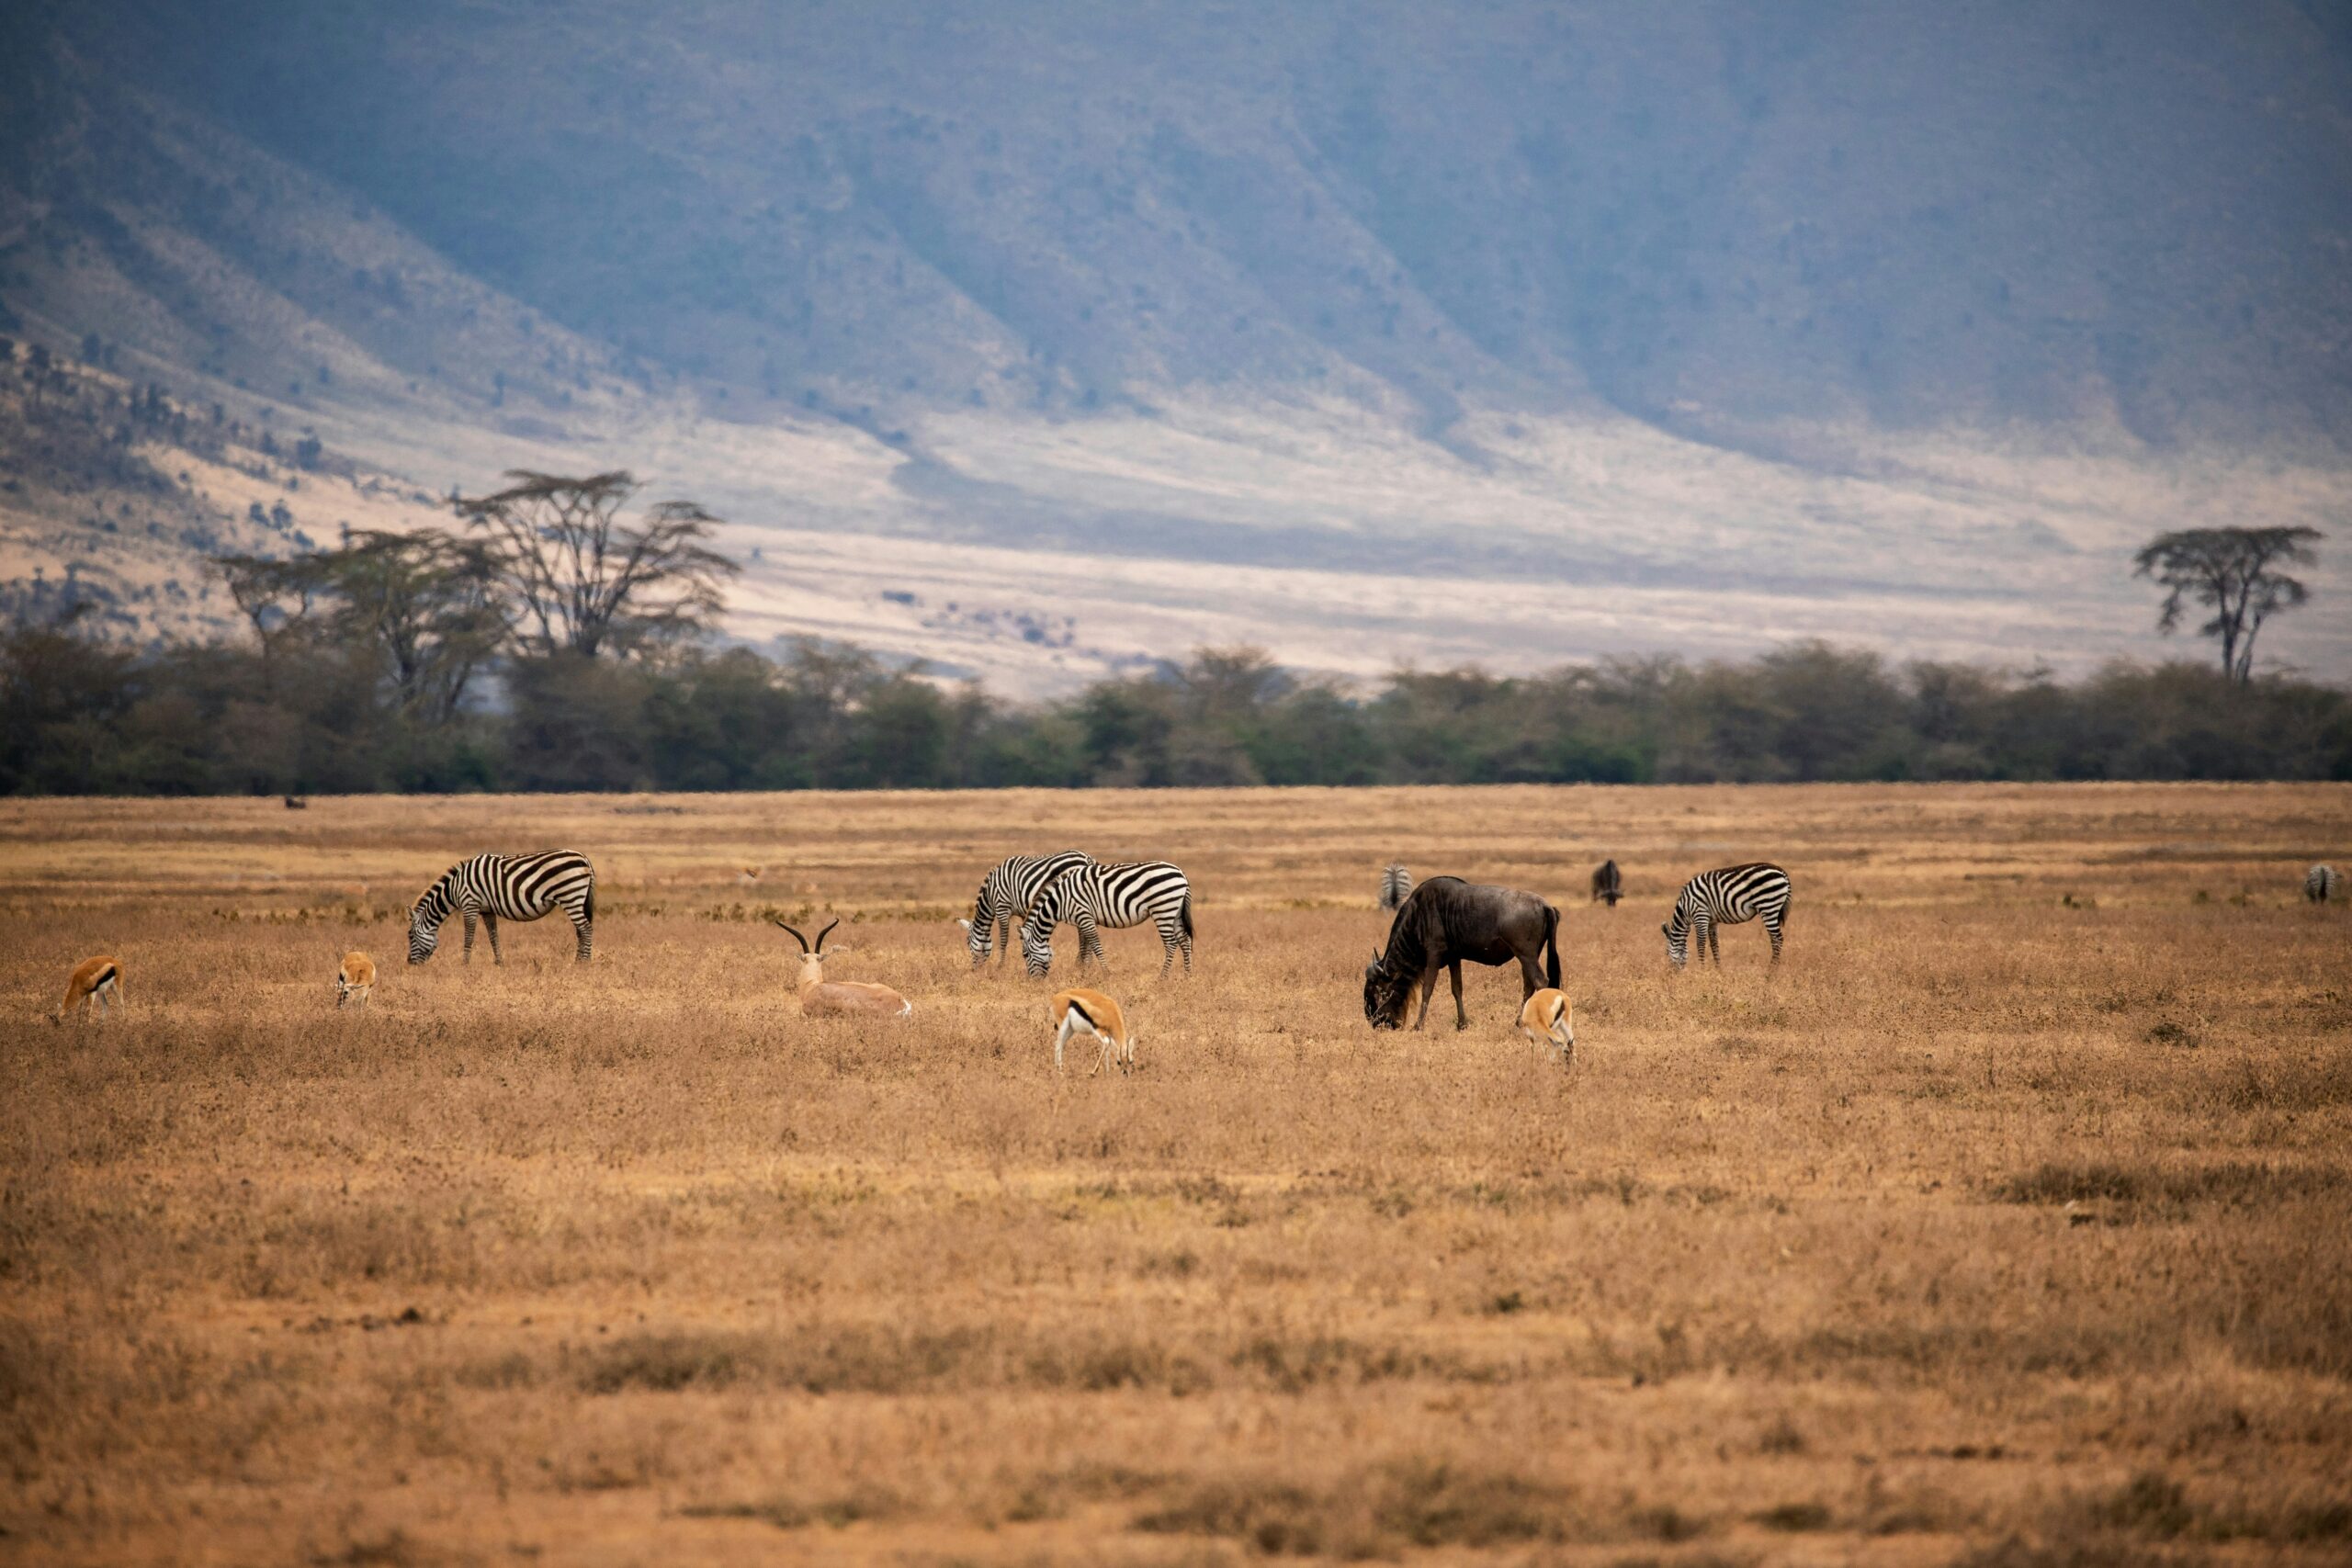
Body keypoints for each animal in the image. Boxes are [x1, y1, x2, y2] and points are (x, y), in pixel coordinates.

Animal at [404, 851, 593, 964]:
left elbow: (469, 936)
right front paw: (499, 963)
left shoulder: (470, 904)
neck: (455, 887)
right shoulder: (487, 910)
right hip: (576, 899)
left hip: (570, 895)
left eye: (410, 936)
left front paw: (465, 964)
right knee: (580, 930)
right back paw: (577, 961)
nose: (409, 962)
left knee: (586, 928)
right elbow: (493, 936)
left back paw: (585, 962)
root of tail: (584, 858)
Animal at [959, 851, 1095, 964]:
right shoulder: (1023, 911)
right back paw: (1085, 963)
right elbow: (1025, 933)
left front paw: (1001, 965)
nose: (974, 969)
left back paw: (1082, 963)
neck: (990, 894)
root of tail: (1087, 858)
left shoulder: (1002, 906)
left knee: (1083, 934)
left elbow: (1003, 938)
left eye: (967, 943)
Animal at [1021, 864, 1194, 973]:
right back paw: (1187, 976)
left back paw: (1162, 979)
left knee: (1171, 944)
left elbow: (1095, 945)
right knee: (1185, 941)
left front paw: (1106, 973)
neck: (1059, 901)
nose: (1034, 982)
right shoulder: (1082, 919)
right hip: (1174, 912)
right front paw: (1084, 972)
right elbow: (1086, 946)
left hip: (1163, 910)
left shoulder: (1083, 914)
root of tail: (1181, 873)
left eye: (1025, 955)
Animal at [1665, 860, 1787, 968]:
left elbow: (1700, 944)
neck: (1685, 910)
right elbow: (1714, 945)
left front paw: (1701, 969)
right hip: (1772, 906)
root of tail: (1782, 872)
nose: (1670, 975)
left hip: (1768, 905)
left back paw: (1770, 972)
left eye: (1667, 955)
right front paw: (1718, 970)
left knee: (1777, 939)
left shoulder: (1700, 915)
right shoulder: (1712, 921)